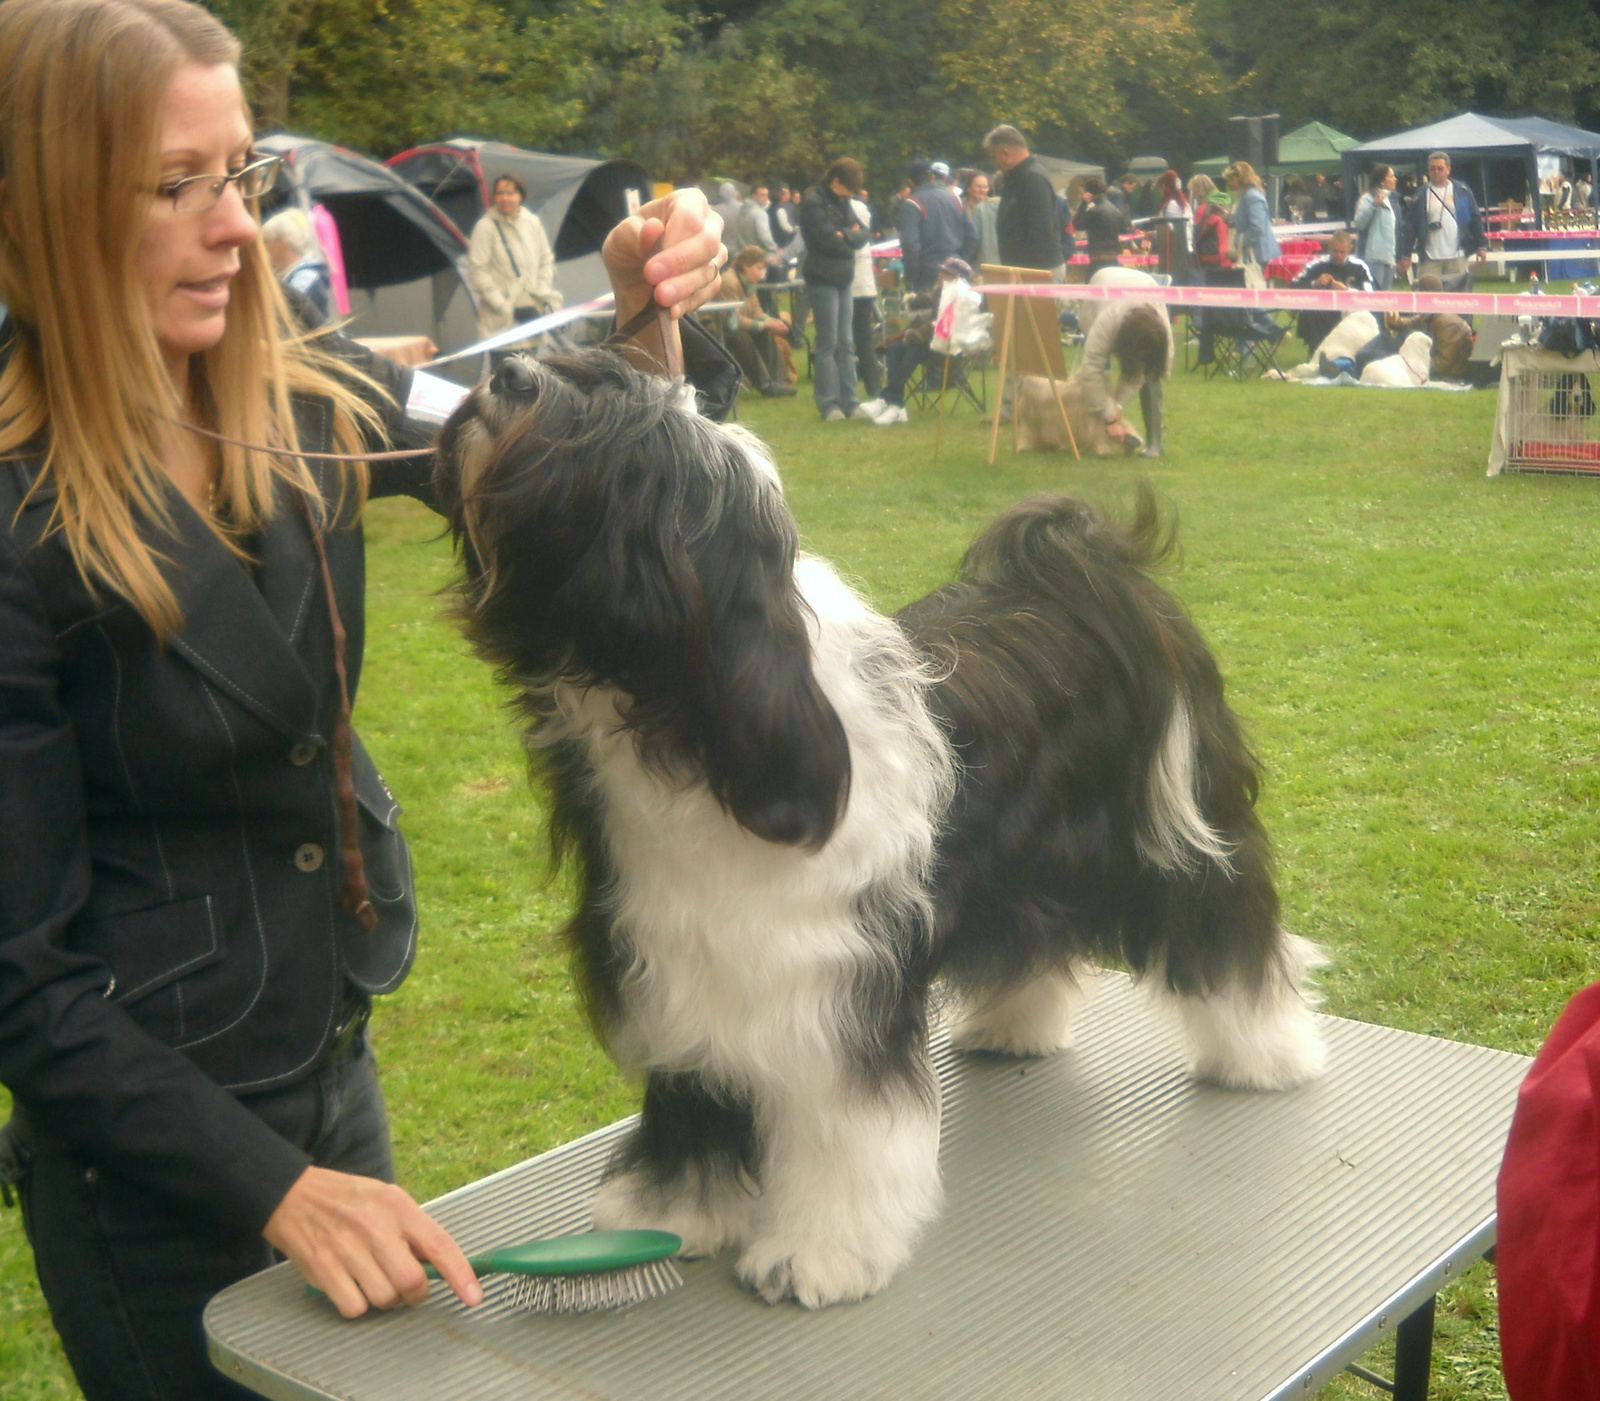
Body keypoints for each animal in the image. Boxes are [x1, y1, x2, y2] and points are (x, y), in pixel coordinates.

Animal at [432, 350, 1318, 1311]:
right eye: (577, 371)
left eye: (603, 430)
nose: (509, 370)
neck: (699, 720)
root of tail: (1092, 573)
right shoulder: (673, 958)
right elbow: (694, 1094)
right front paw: (674, 1208)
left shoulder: (833, 988)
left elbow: (843, 1134)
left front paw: (820, 1252)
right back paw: (1017, 1023)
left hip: (1171, 838)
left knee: (1231, 935)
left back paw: (1270, 1052)